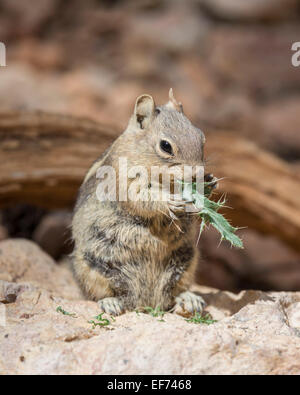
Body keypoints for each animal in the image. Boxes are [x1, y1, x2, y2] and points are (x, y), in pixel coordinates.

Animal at [72, 89, 218, 316]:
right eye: (165, 146)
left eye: (201, 138)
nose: (196, 175)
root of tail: (147, 303)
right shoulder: (125, 180)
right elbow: (141, 199)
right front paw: (169, 202)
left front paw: (210, 183)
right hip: (91, 265)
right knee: (103, 293)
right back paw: (111, 303)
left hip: (187, 260)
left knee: (174, 293)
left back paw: (189, 299)